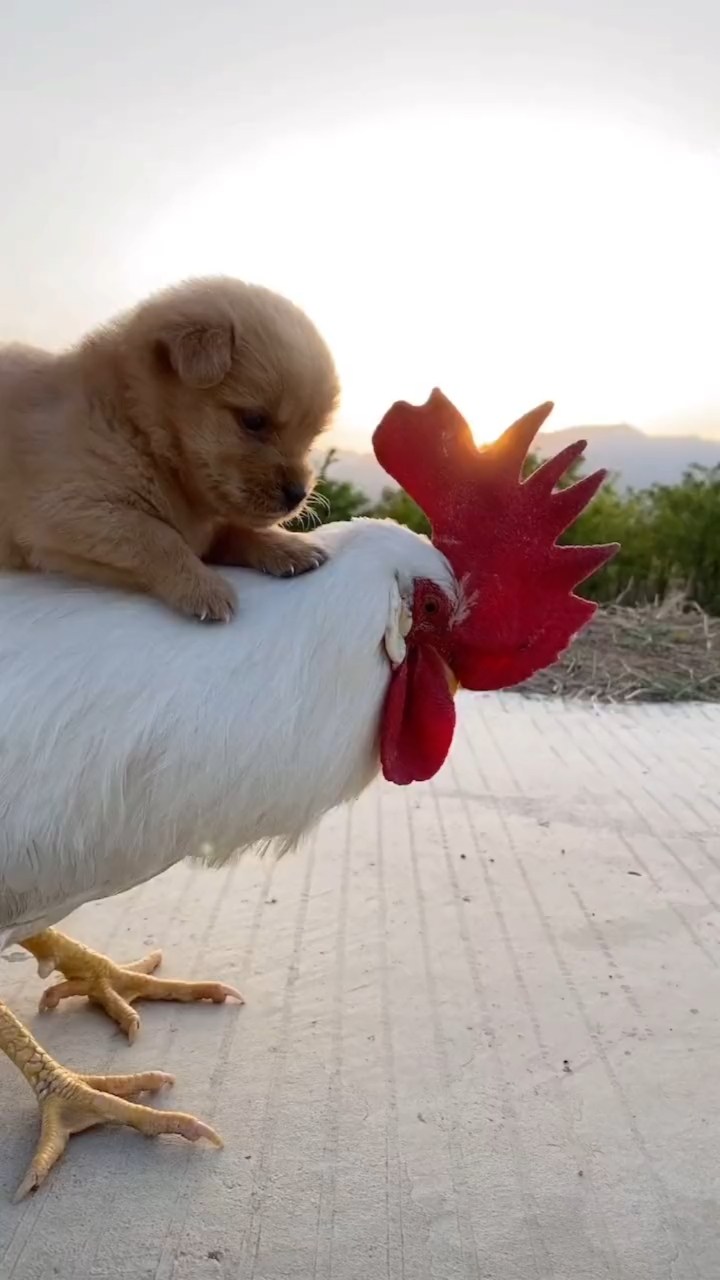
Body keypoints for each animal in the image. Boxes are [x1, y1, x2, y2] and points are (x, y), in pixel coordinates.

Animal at [0, 277, 338, 622]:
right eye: (254, 421)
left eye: (312, 438)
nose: (297, 495)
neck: (140, 430)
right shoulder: (64, 510)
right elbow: (156, 533)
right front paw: (204, 587)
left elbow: (235, 529)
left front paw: (288, 547)